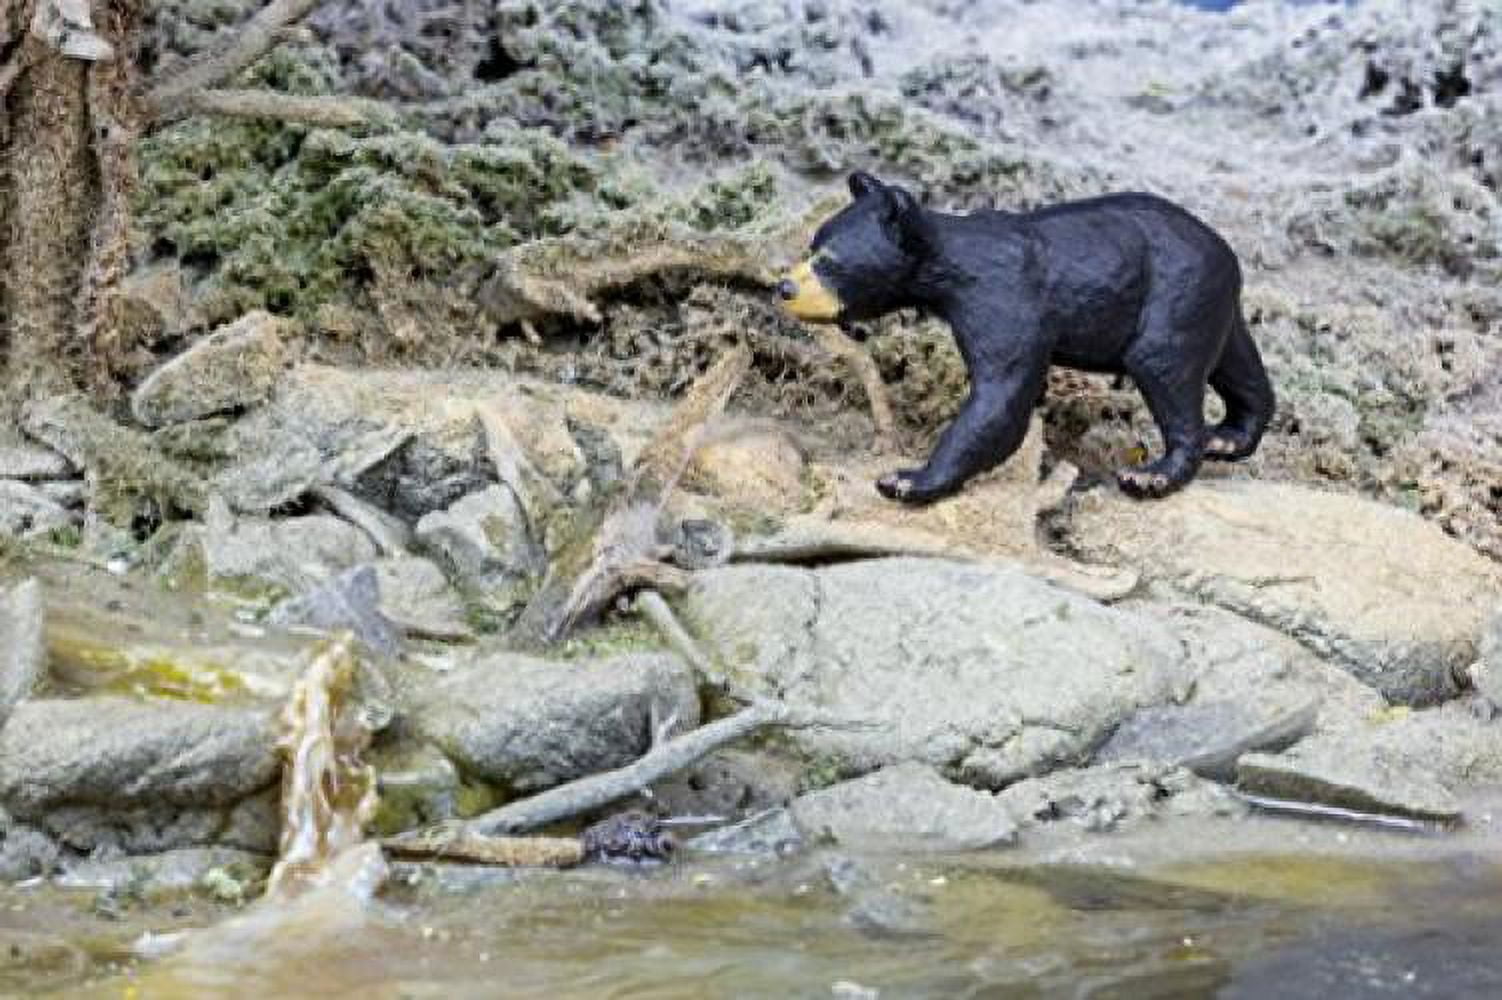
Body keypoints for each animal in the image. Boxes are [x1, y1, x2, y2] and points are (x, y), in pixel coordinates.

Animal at [776, 171, 1275, 502]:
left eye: (829, 260)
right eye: (812, 245)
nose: (784, 288)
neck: (949, 268)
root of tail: (1227, 252)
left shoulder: (1002, 300)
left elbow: (1000, 395)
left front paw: (907, 479)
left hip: (1172, 295)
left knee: (1162, 364)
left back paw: (1153, 475)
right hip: (1207, 302)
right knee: (1237, 362)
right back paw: (1229, 437)